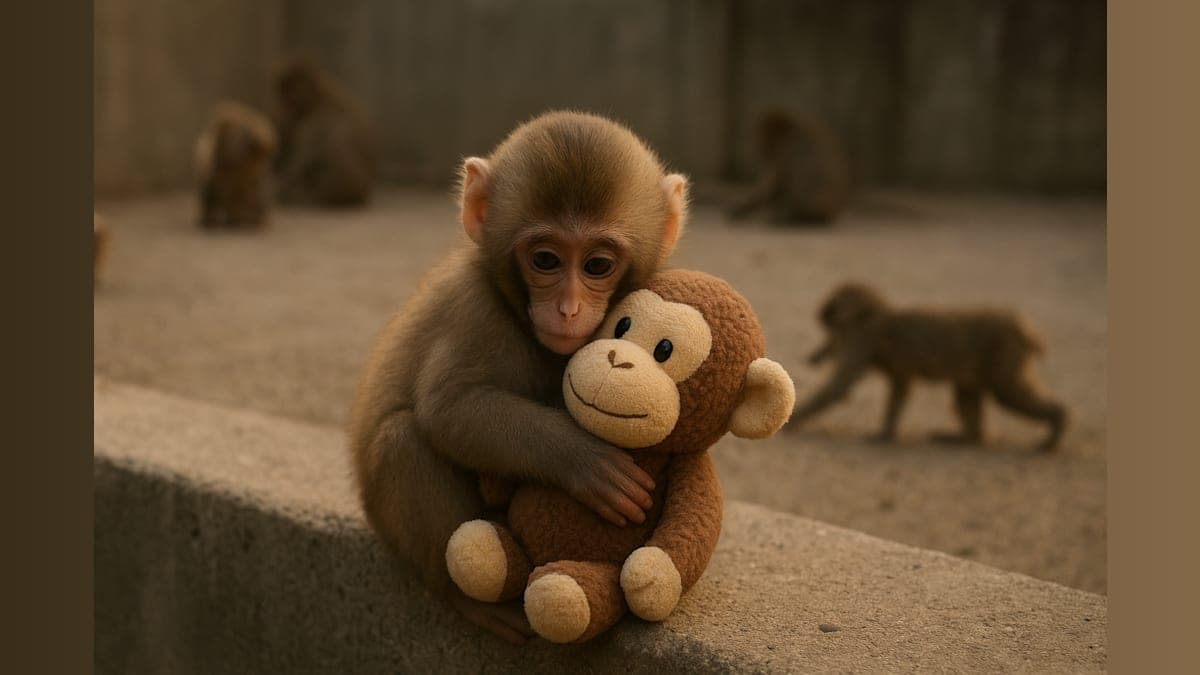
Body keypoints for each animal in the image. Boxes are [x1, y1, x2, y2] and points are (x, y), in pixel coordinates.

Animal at [273, 57, 375, 207]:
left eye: (290, 98)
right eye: (281, 96)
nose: (282, 108)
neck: (319, 97)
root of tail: (362, 195)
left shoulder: (315, 123)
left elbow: (302, 159)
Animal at [346, 111, 689, 644]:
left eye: (597, 265)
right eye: (545, 260)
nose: (567, 309)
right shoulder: (474, 306)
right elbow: (450, 407)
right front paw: (585, 459)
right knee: (401, 438)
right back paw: (471, 596)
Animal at [788, 282, 1068, 451]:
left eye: (832, 308)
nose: (817, 353)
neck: (870, 313)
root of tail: (1025, 328)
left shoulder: (862, 338)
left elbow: (839, 388)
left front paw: (796, 419)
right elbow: (900, 389)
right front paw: (886, 432)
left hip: (1004, 352)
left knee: (1008, 392)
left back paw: (1056, 425)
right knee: (966, 392)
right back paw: (967, 438)